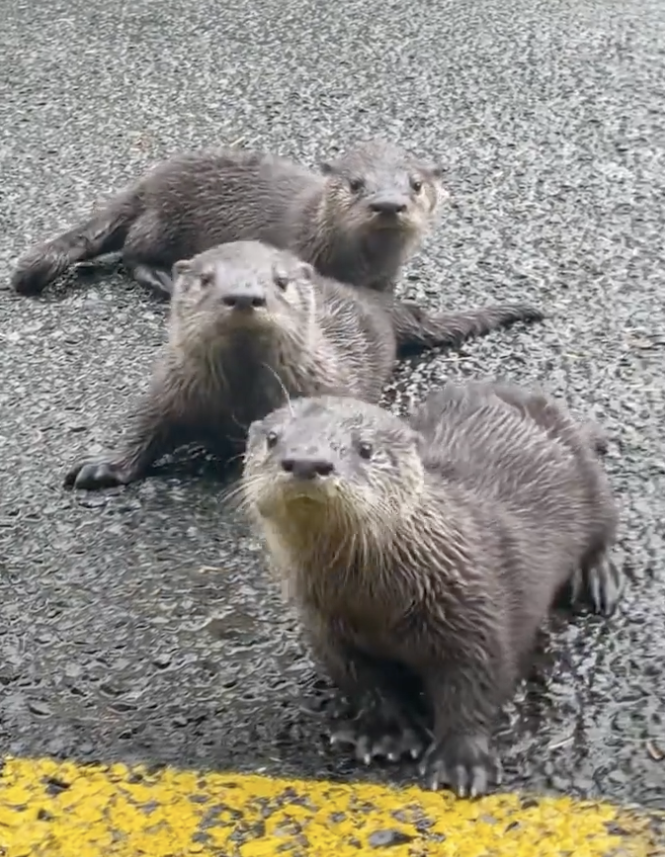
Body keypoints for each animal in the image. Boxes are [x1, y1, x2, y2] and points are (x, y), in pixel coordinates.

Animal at [11, 139, 446, 300]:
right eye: (356, 184)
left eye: (416, 185)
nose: (388, 204)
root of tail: (148, 183)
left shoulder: (385, 277)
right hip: (164, 223)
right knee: (133, 251)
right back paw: (162, 277)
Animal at [65, 241, 548, 494]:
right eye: (205, 279)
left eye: (280, 281)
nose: (244, 295)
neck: (239, 400)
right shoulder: (171, 388)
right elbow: (144, 427)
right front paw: (103, 468)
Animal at [240, 382, 624, 796]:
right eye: (272, 438)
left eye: (366, 448)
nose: (307, 462)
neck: (378, 604)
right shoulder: (328, 632)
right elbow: (365, 684)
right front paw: (389, 734)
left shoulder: (477, 618)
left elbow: (473, 688)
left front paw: (462, 761)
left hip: (591, 481)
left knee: (603, 530)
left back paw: (598, 580)